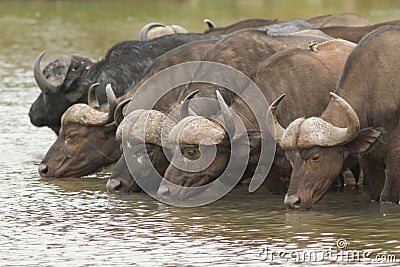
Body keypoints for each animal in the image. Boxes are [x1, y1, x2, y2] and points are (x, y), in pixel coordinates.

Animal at [268, 25, 400, 209]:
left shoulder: (395, 160)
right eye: (290, 158)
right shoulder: (368, 160)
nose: (293, 201)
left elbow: (388, 196)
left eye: (316, 157)